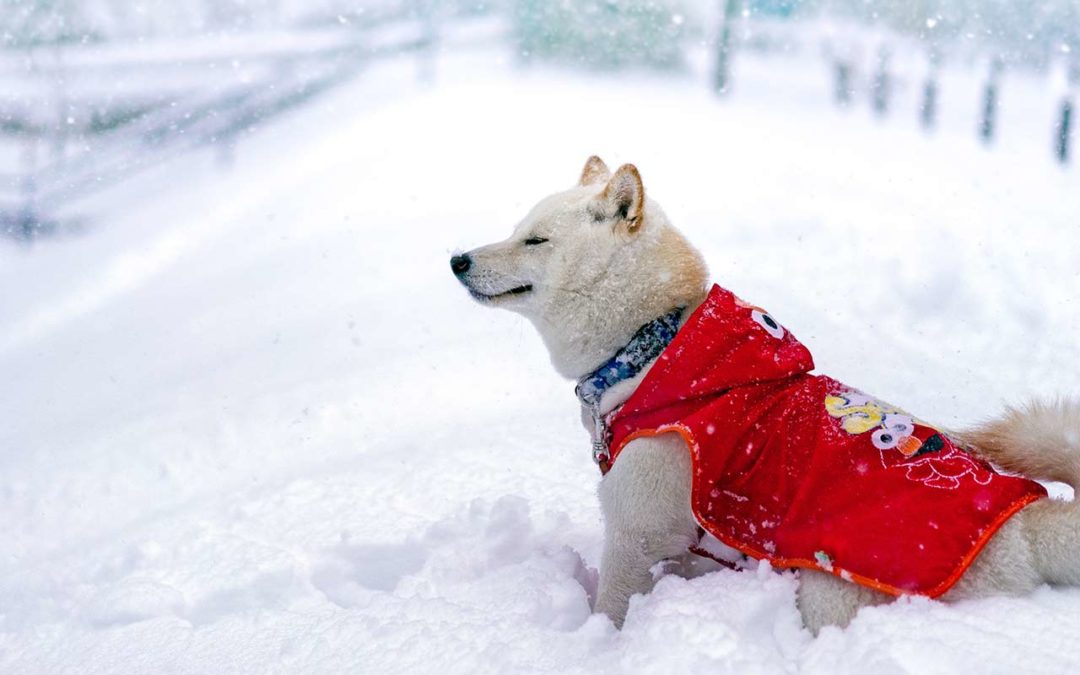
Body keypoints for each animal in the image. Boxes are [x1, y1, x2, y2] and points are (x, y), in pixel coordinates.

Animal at [447, 155, 1080, 630]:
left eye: (536, 240)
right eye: (517, 229)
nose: (457, 259)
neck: (649, 348)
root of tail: (1026, 526)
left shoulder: (636, 531)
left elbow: (612, 606)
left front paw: (596, 642)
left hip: (831, 588)